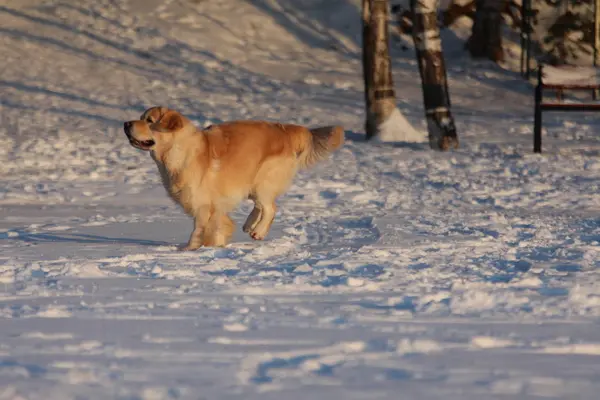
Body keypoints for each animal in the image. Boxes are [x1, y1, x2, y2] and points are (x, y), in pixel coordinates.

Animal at [124, 106, 344, 250]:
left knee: (270, 208)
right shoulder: (215, 204)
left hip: (263, 181)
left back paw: (259, 231)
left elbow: (199, 229)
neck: (178, 150)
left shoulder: (202, 204)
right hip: (250, 182)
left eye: (150, 120)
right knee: (260, 206)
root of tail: (285, 129)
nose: (126, 123)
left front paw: (190, 249)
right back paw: (249, 225)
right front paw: (216, 244)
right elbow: (219, 225)